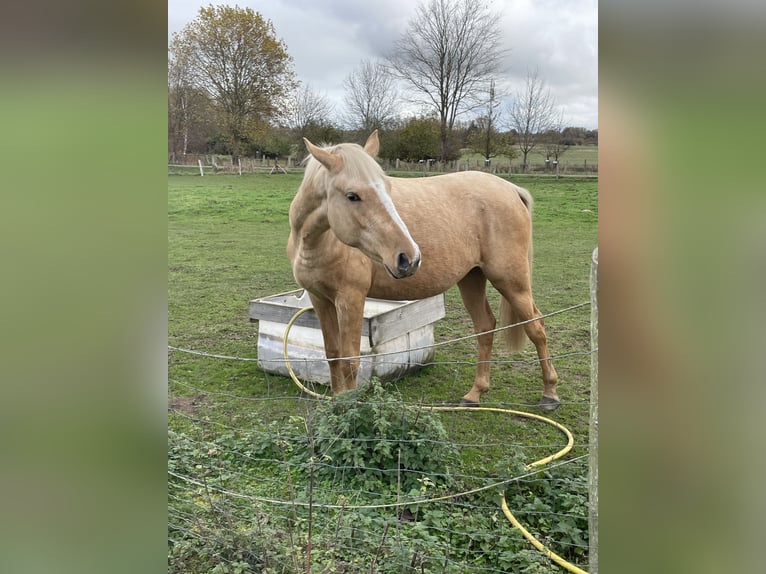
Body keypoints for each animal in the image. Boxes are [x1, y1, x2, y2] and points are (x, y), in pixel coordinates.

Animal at [288, 132, 564, 410]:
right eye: (352, 195)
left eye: (387, 188)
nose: (408, 258)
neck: (315, 243)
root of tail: (511, 189)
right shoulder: (320, 299)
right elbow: (333, 355)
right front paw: (336, 405)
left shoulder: (351, 298)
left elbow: (350, 362)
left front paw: (349, 410)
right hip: (472, 278)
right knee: (485, 327)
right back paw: (475, 394)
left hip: (511, 282)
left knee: (536, 327)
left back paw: (549, 394)